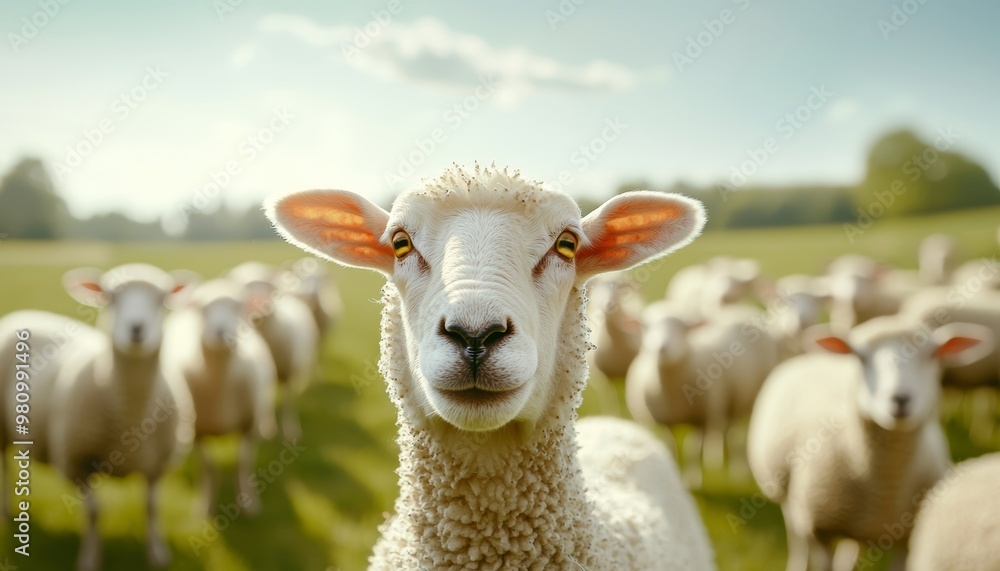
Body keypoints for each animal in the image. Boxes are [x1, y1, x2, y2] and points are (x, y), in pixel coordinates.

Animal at [22, 264, 196, 571]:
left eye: (161, 299)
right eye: (109, 298)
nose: (136, 328)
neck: (130, 415)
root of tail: (25, 313)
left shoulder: (157, 466)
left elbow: (151, 508)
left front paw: (157, 553)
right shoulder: (75, 463)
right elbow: (93, 513)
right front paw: (90, 559)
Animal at [161, 278, 277, 516]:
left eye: (238, 307)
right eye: (201, 309)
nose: (220, 331)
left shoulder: (250, 426)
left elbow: (242, 463)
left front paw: (249, 502)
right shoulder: (197, 431)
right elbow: (207, 467)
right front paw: (204, 505)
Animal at [227, 261, 318, 442]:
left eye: (270, 290)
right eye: (245, 293)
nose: (256, 303)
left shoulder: (289, 373)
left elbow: (288, 402)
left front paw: (290, 431)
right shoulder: (264, 375)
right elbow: (266, 402)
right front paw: (267, 427)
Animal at [625, 300, 779, 483]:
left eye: (683, 327)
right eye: (645, 326)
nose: (661, 348)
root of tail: (741, 307)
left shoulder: (702, 419)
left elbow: (693, 449)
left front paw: (694, 479)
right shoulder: (664, 422)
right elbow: (671, 447)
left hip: (747, 398)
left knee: (736, 433)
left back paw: (738, 470)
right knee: (724, 430)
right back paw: (717, 460)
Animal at [747, 315, 993, 571]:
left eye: (934, 355)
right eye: (860, 357)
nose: (900, 399)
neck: (884, 484)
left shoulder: (905, 539)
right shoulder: (819, 529)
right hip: (787, 495)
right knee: (797, 538)